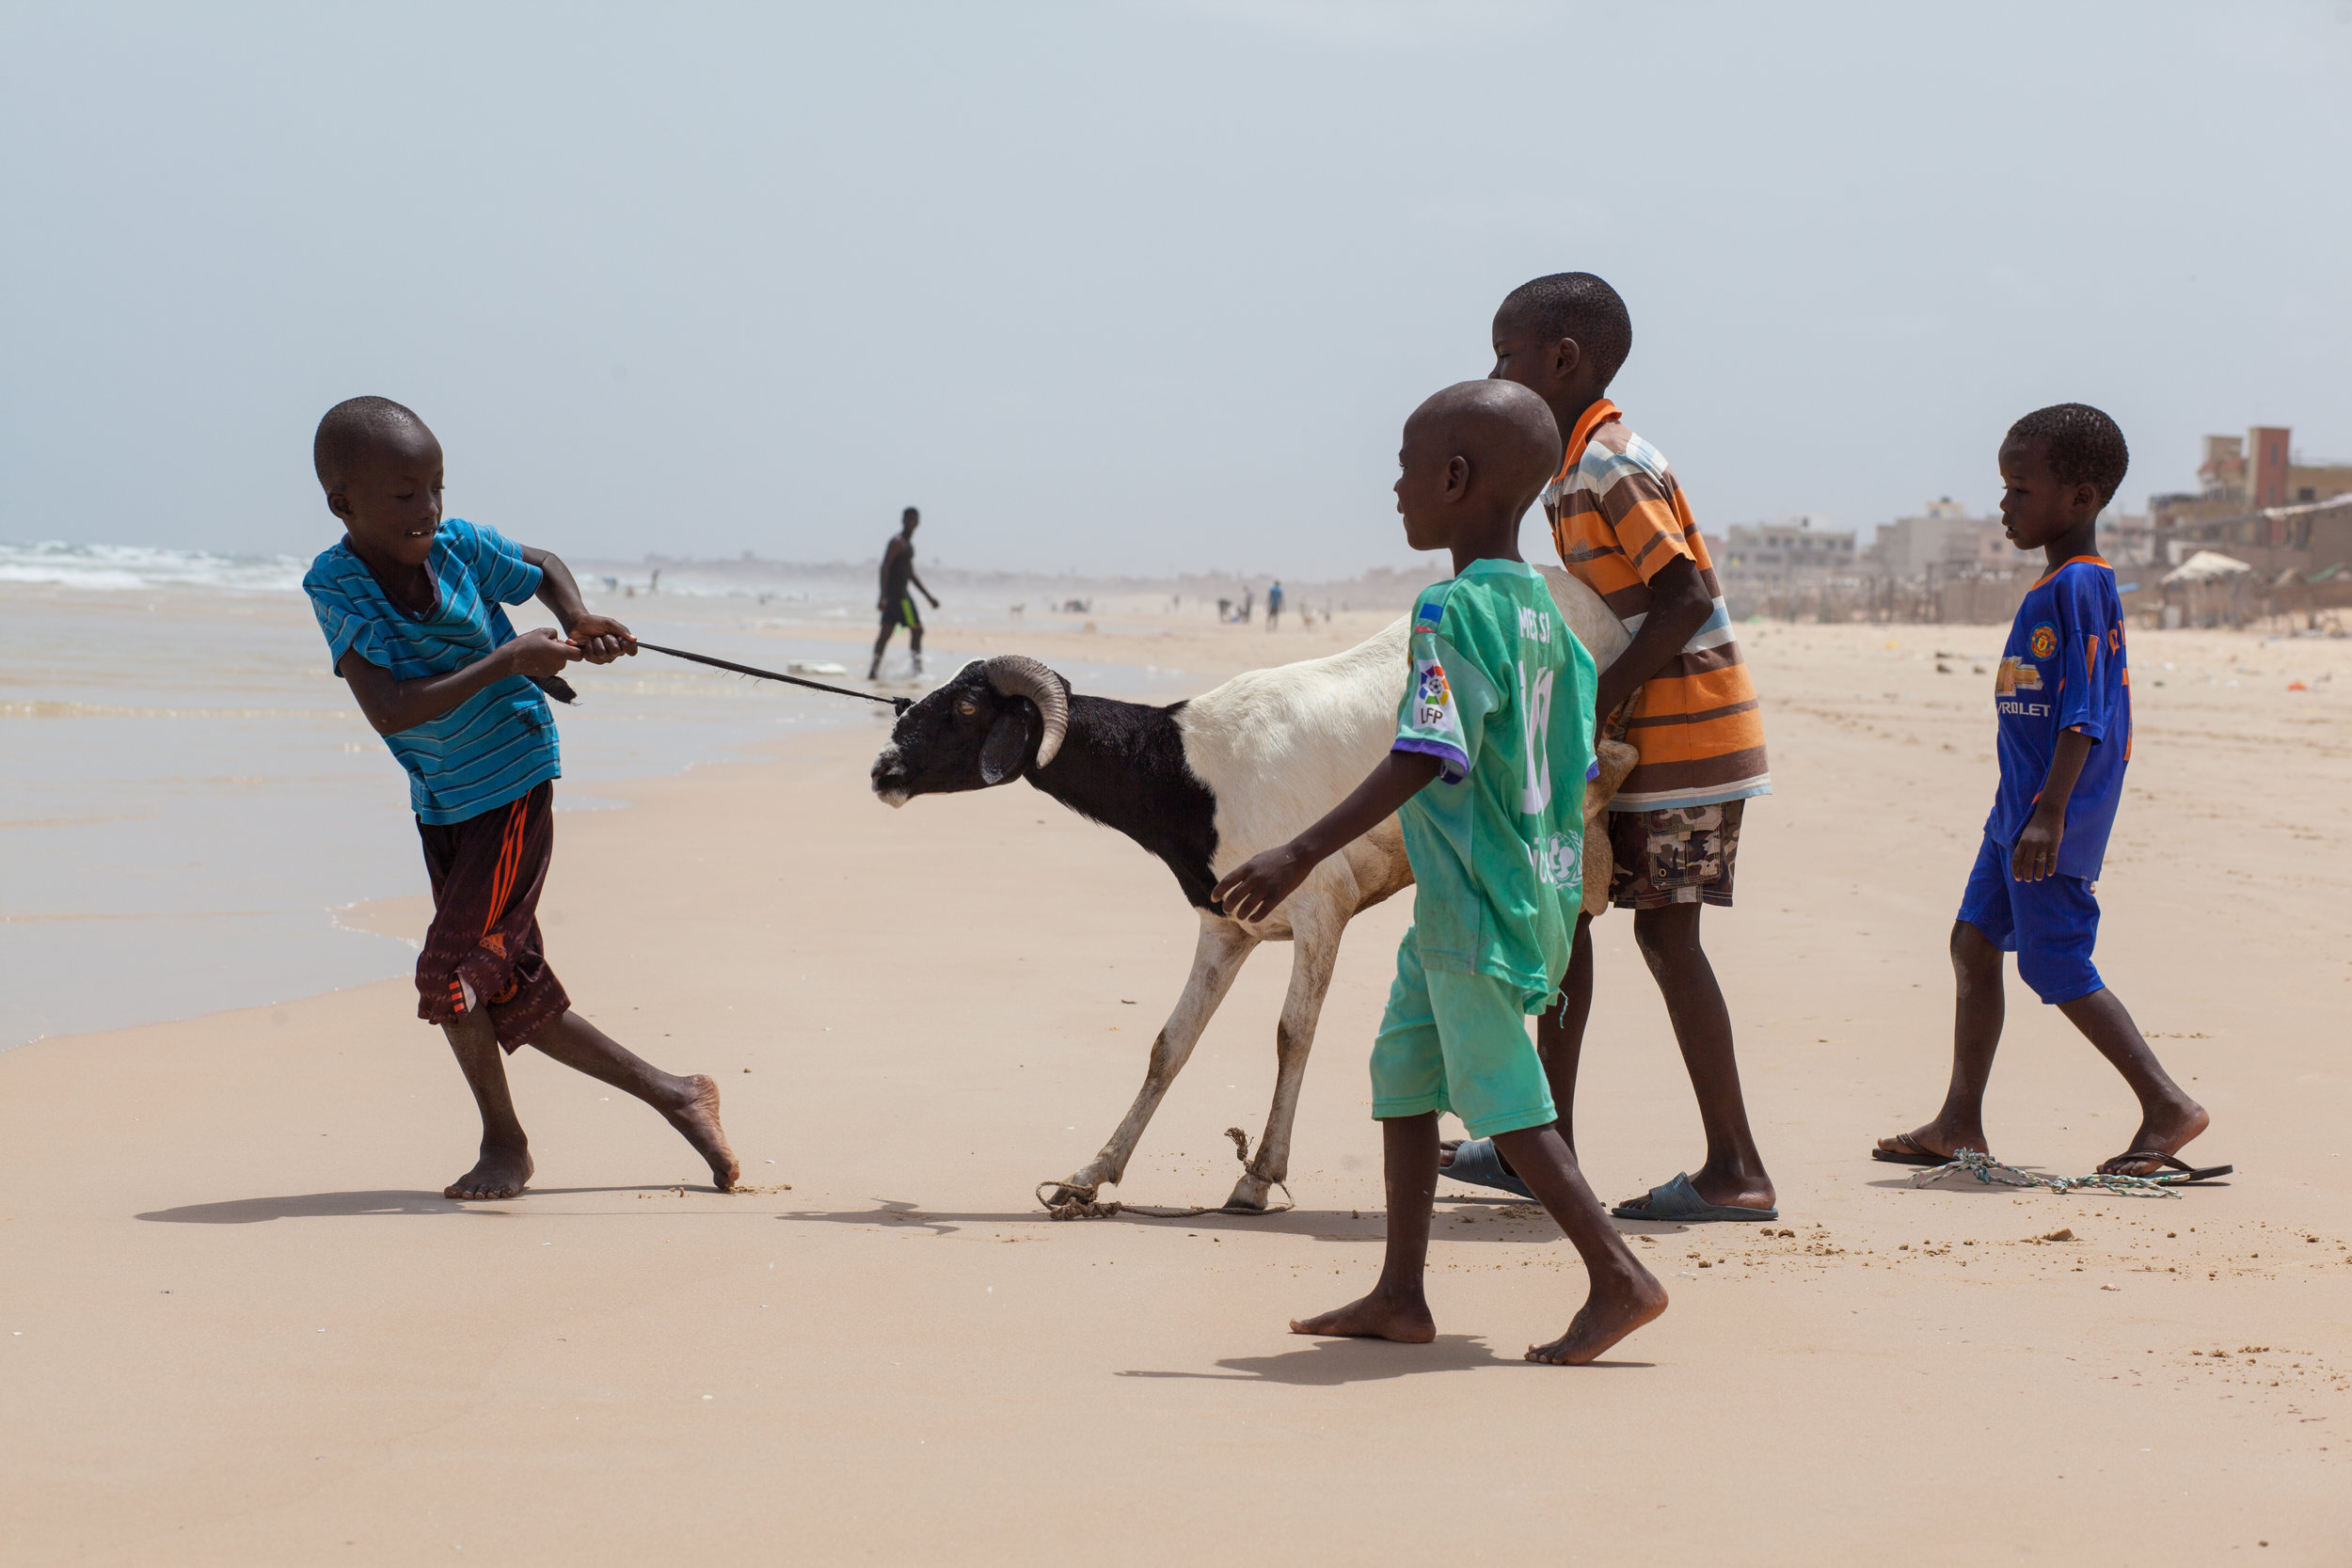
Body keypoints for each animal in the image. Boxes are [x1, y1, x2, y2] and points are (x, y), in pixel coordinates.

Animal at [870, 566, 1637, 1212]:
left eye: (969, 707)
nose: (883, 769)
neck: (1187, 766)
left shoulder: (1322, 906)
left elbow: (1292, 1032)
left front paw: (1258, 1176)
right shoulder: (1225, 926)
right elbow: (1170, 1043)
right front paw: (1089, 1177)